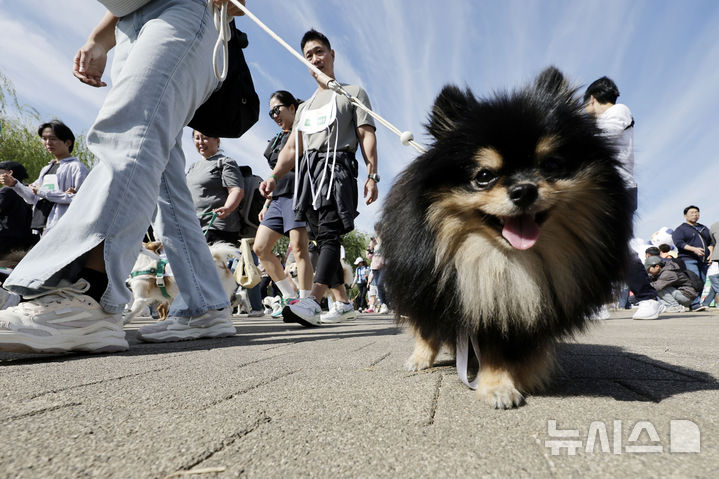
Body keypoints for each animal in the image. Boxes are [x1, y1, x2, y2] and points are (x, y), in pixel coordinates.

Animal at [380, 67, 632, 410]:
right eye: (484, 176)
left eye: (551, 165)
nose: (524, 189)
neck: (508, 261)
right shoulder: (468, 295)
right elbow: (491, 349)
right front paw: (498, 386)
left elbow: (528, 346)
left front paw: (527, 374)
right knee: (425, 327)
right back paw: (421, 359)